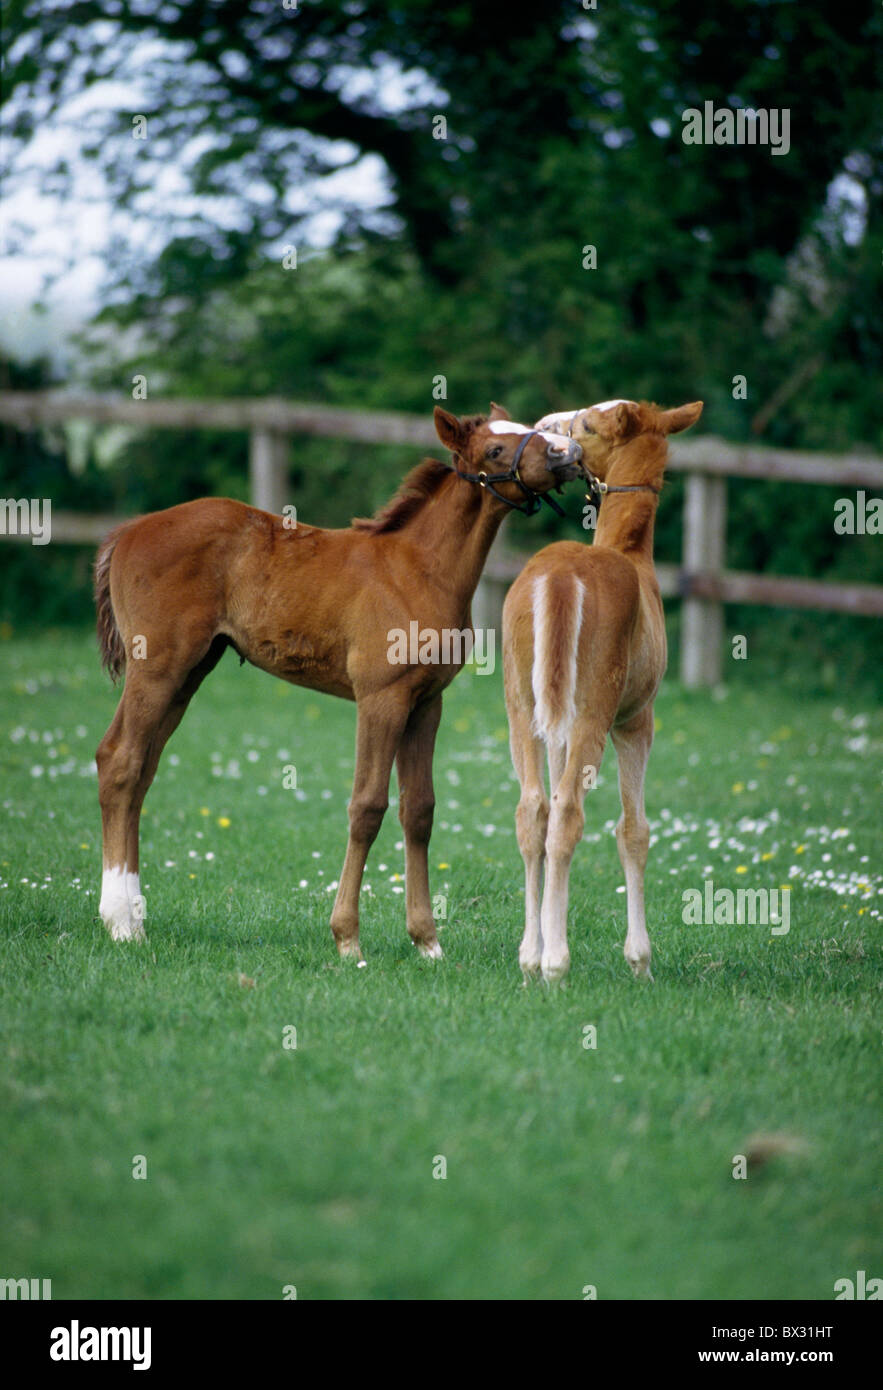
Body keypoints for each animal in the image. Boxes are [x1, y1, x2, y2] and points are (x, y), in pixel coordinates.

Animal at [503, 397, 703, 984]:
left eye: (589, 423)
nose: (546, 429)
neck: (629, 551)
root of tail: (559, 576)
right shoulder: (637, 720)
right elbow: (633, 830)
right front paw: (641, 960)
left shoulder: (559, 724)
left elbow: (547, 813)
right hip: (596, 709)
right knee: (569, 812)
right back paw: (556, 963)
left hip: (523, 704)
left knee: (534, 811)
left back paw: (530, 957)